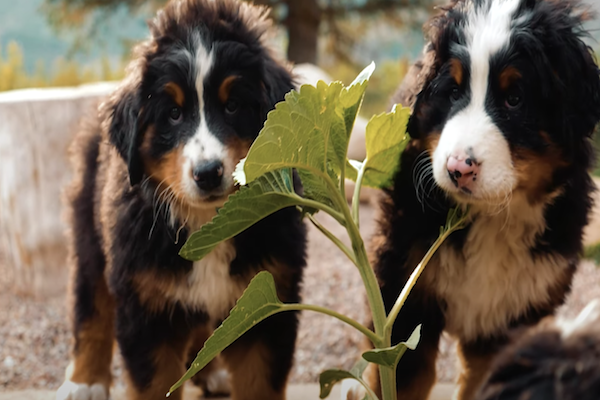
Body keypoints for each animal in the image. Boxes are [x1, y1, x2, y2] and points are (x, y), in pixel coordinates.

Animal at [55, 0, 304, 400]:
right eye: (173, 114)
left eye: (233, 106)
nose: (208, 173)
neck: (209, 221)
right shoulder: (146, 303)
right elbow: (155, 382)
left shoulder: (267, 300)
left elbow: (257, 381)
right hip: (89, 234)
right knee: (90, 306)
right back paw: (85, 381)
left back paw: (210, 375)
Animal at [344, 0, 600, 400]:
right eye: (452, 92)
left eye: (515, 99)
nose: (457, 169)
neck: (490, 217)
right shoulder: (405, 298)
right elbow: (403, 379)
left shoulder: (513, 318)